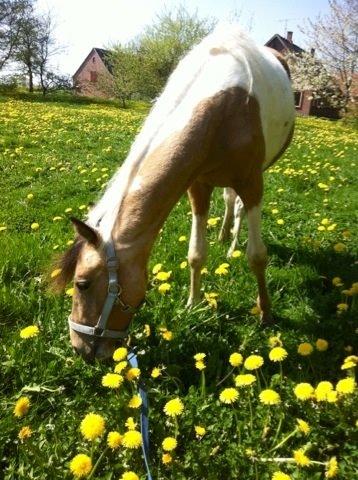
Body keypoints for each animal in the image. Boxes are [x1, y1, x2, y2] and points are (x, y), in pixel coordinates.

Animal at [52, 24, 294, 358]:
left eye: (82, 284)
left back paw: (232, 245)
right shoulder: (197, 185)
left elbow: (257, 256)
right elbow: (196, 253)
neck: (226, 108)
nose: (80, 349)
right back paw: (224, 237)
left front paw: (266, 313)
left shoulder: (252, 182)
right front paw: (193, 304)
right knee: (229, 201)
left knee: (240, 210)